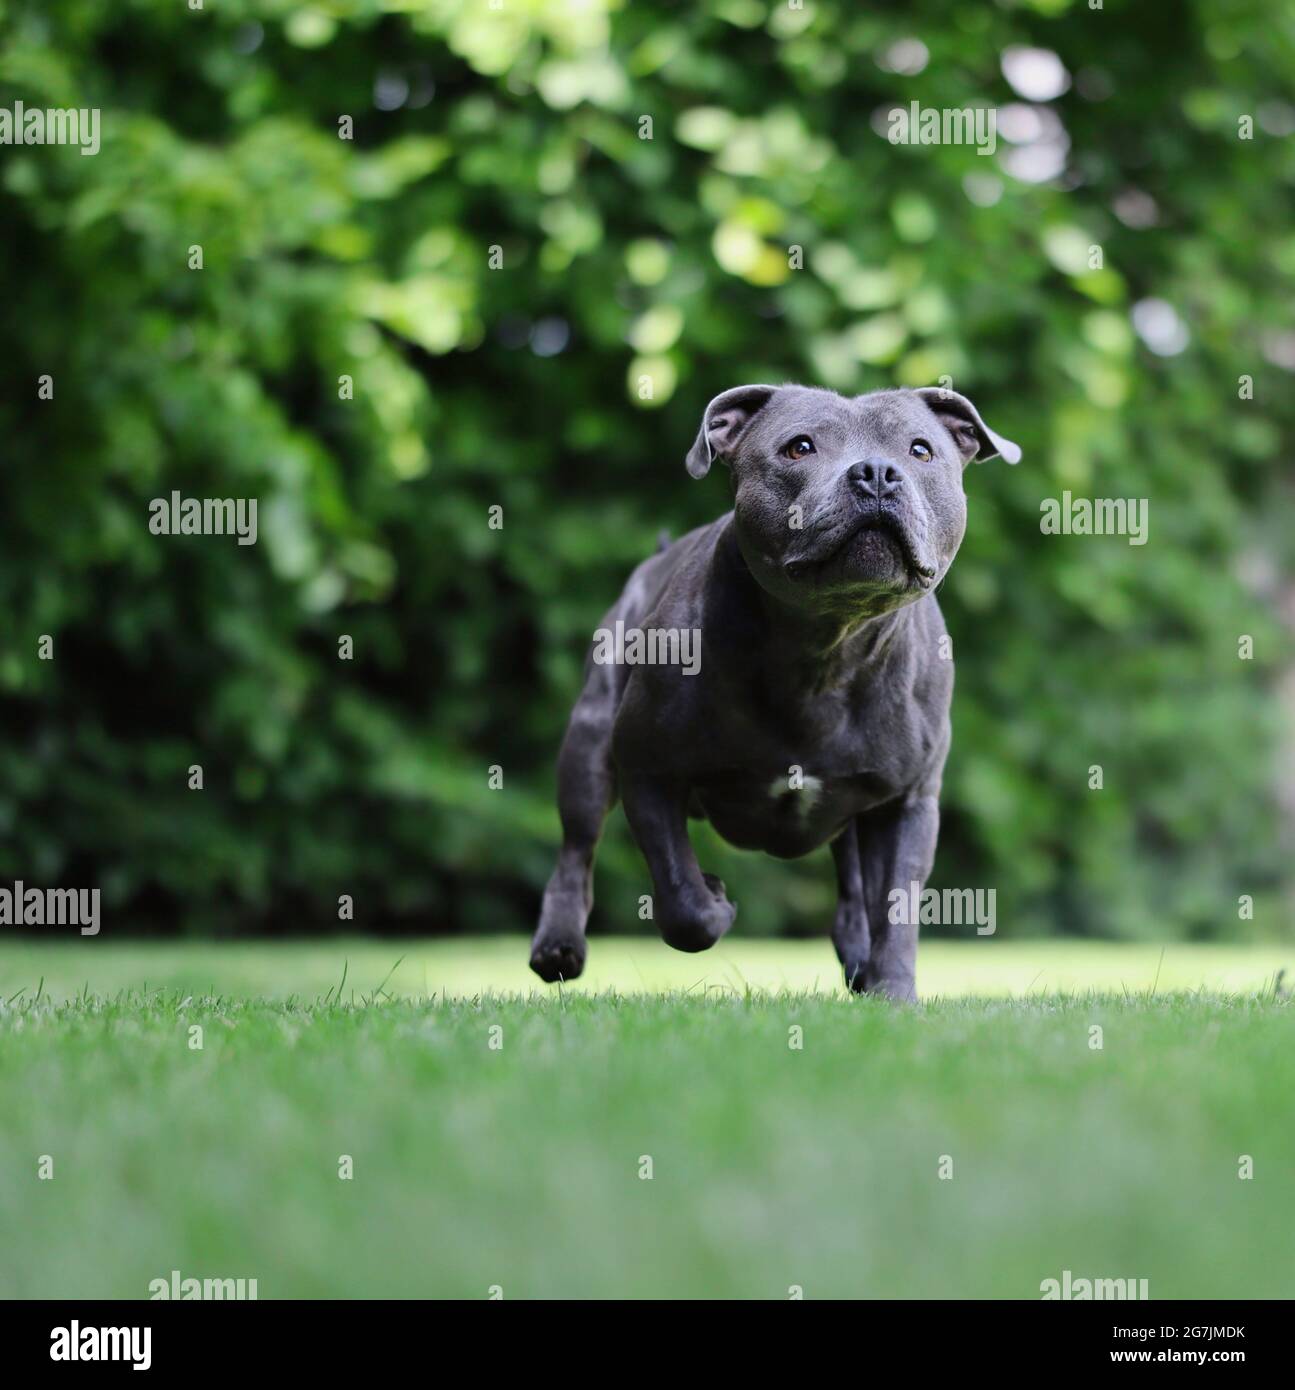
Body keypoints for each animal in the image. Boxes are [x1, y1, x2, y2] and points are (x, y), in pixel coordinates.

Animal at [530, 386, 1017, 1000]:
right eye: (799, 447)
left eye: (920, 450)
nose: (877, 473)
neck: (825, 648)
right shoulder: (648, 768)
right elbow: (680, 896)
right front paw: (712, 899)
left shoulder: (906, 803)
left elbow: (897, 908)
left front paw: (893, 993)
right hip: (589, 745)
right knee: (577, 847)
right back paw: (557, 947)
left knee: (854, 893)